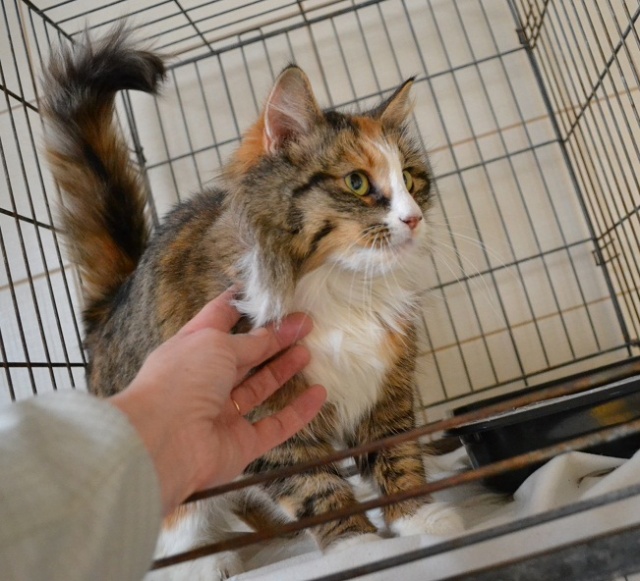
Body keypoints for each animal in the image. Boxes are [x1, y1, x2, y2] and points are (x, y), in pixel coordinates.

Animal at [42, 24, 462, 579]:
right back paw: (206, 564)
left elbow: (398, 457)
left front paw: (418, 518)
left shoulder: (385, 389)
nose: (414, 219)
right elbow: (316, 488)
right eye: (357, 182)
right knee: (176, 531)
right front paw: (360, 546)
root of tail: (115, 299)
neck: (338, 287)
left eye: (412, 181)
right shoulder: (271, 422)